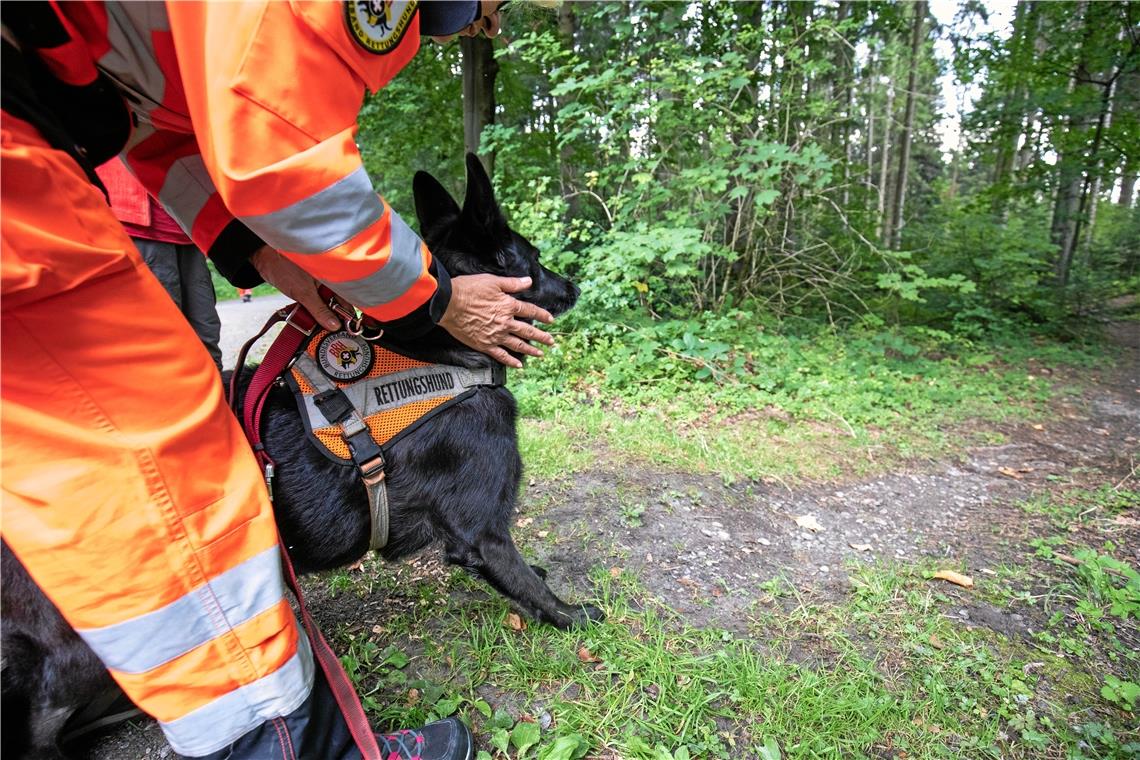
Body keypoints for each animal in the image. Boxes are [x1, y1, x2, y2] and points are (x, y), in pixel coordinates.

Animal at [0, 156, 601, 760]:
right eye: (534, 261)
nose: (575, 285)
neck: (441, 355)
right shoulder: (482, 535)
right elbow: (525, 582)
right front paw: (573, 616)